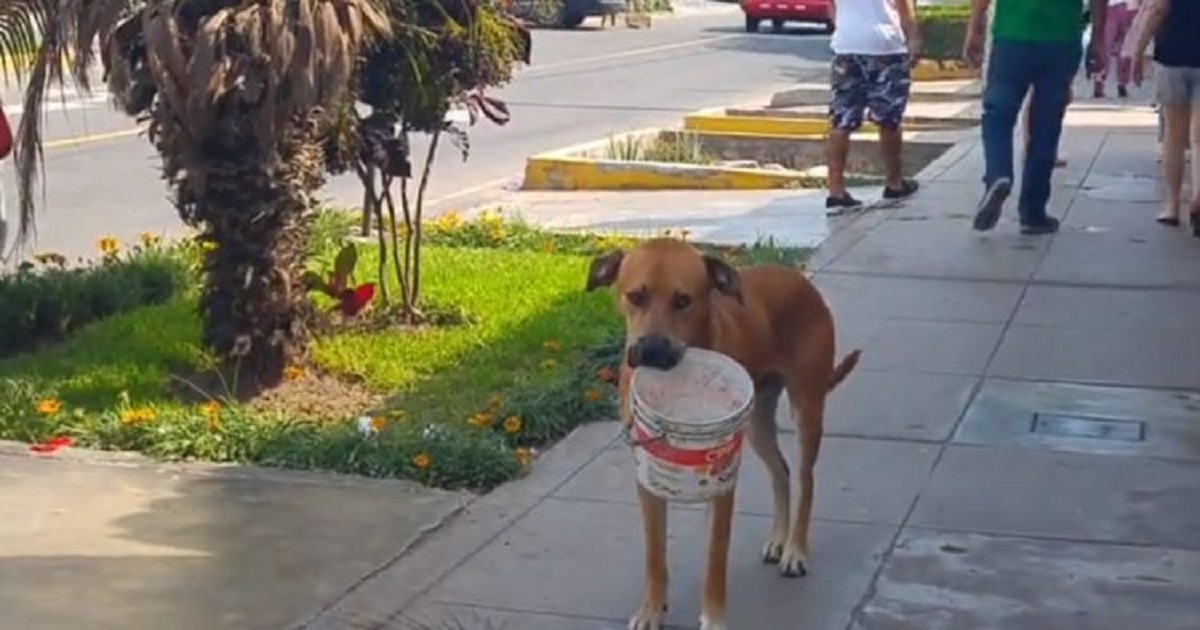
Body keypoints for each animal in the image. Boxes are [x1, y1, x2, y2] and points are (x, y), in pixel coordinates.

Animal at [583, 237, 859, 628]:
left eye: (683, 300)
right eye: (635, 296)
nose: (651, 350)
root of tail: (797, 278)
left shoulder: (722, 481)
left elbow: (715, 558)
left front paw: (712, 617)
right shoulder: (647, 477)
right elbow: (654, 553)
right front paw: (652, 608)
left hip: (807, 405)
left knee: (806, 478)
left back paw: (795, 549)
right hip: (757, 420)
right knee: (781, 471)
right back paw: (779, 538)